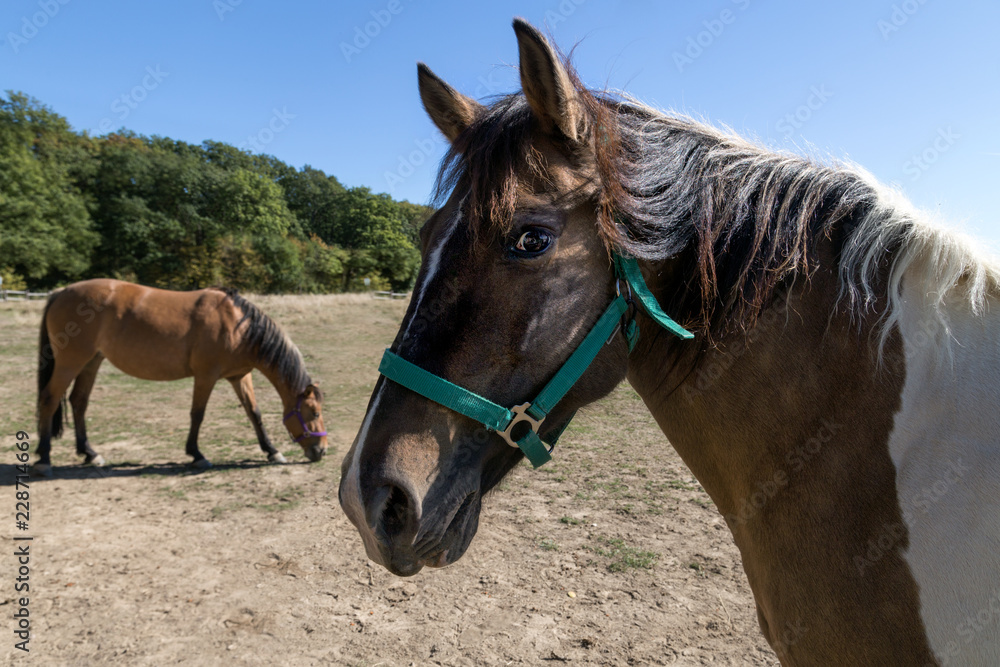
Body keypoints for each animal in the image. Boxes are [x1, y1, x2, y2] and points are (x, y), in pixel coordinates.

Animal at [35, 279, 328, 476]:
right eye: (314, 413)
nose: (321, 450)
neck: (238, 325)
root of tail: (60, 293)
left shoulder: (239, 377)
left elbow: (254, 413)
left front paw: (272, 451)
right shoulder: (206, 376)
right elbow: (197, 414)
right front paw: (196, 455)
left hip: (91, 362)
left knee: (78, 401)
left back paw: (90, 454)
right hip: (71, 362)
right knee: (49, 399)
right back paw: (45, 459)